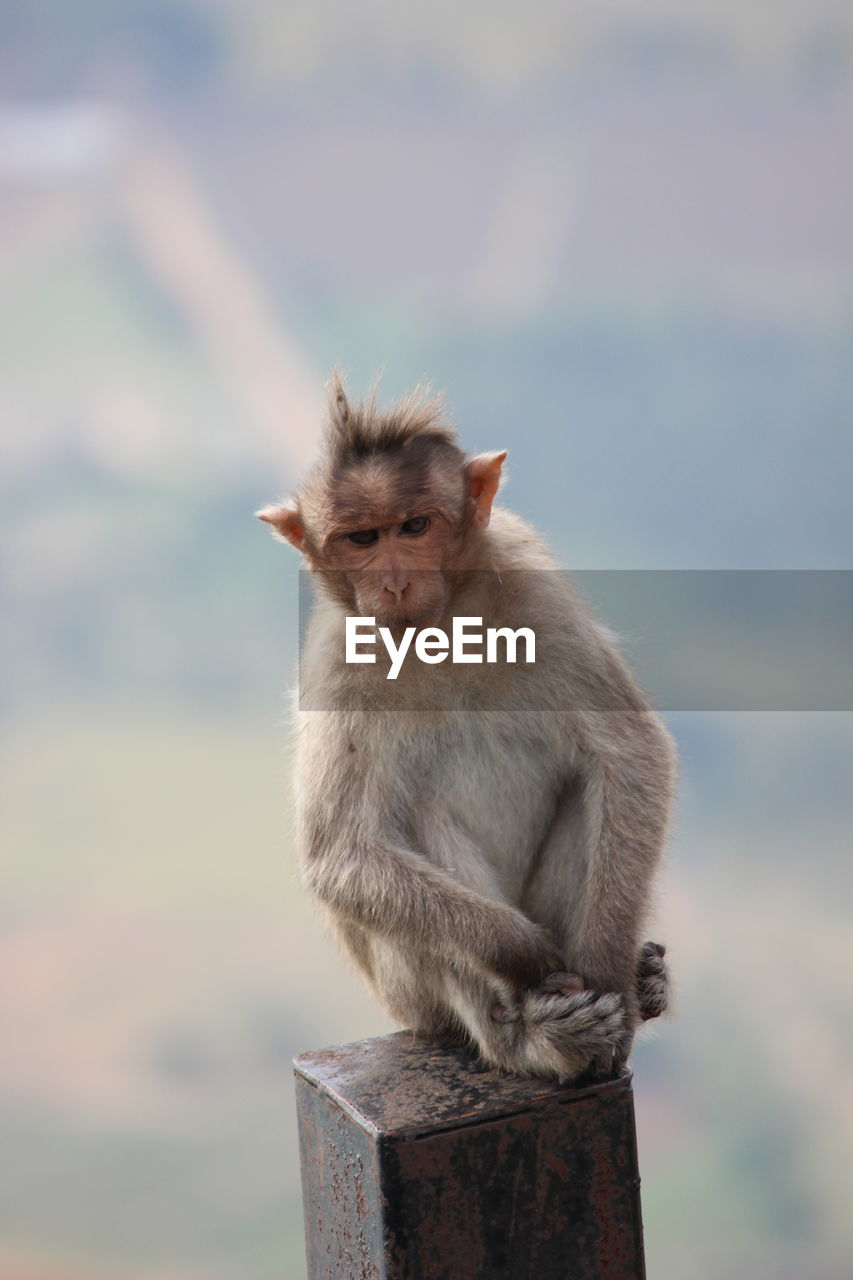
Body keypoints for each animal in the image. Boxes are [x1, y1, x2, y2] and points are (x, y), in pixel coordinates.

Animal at [256, 373, 676, 1080]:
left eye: (415, 526)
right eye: (362, 539)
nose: (395, 582)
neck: (440, 628)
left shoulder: (537, 595)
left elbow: (629, 754)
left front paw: (606, 970)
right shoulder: (337, 666)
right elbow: (343, 852)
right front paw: (529, 957)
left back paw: (630, 990)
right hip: (410, 998)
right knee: (414, 826)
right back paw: (531, 1036)